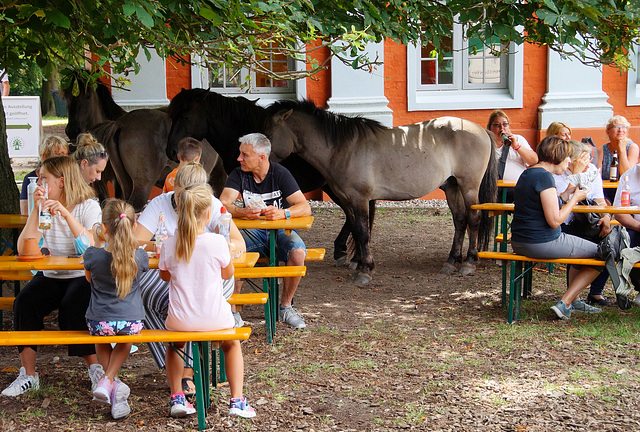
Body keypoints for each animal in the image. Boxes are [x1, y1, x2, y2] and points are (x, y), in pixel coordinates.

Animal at [264, 100, 500, 284]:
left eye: (267, 134)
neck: (343, 148)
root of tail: (481, 130)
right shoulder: (348, 201)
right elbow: (357, 231)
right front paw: (360, 264)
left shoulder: (359, 199)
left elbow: (362, 231)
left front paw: (365, 270)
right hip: (451, 186)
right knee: (460, 220)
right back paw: (451, 262)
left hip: (468, 186)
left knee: (473, 219)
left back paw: (469, 263)